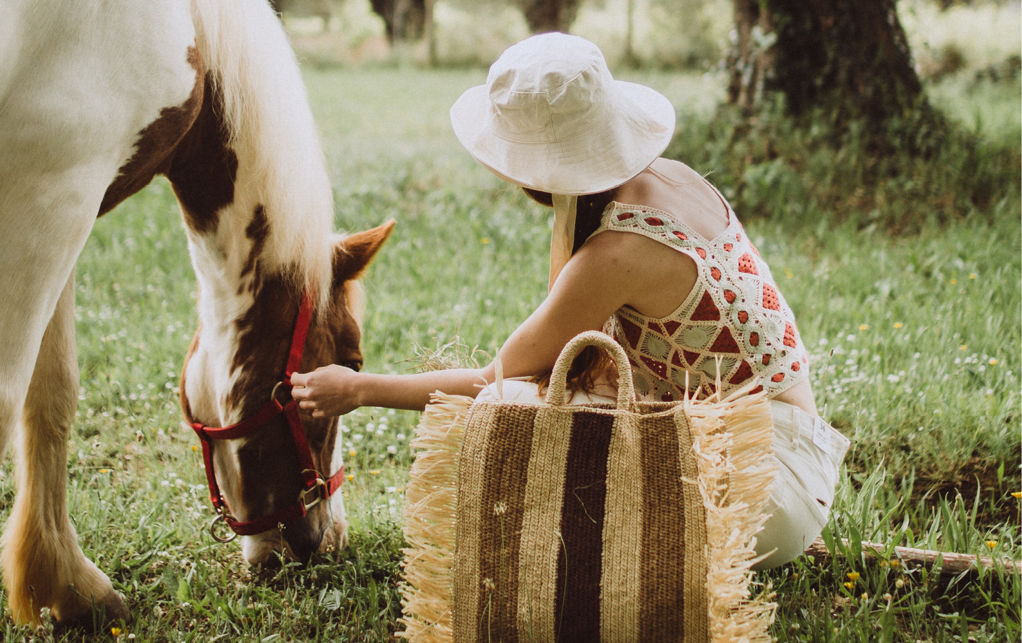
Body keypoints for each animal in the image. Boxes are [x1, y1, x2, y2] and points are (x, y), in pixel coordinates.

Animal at [0, 0, 390, 625]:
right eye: (352, 363)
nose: (330, 538)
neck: (195, 30)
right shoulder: (54, 186)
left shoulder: (65, 212)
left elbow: (51, 395)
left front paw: (66, 583)